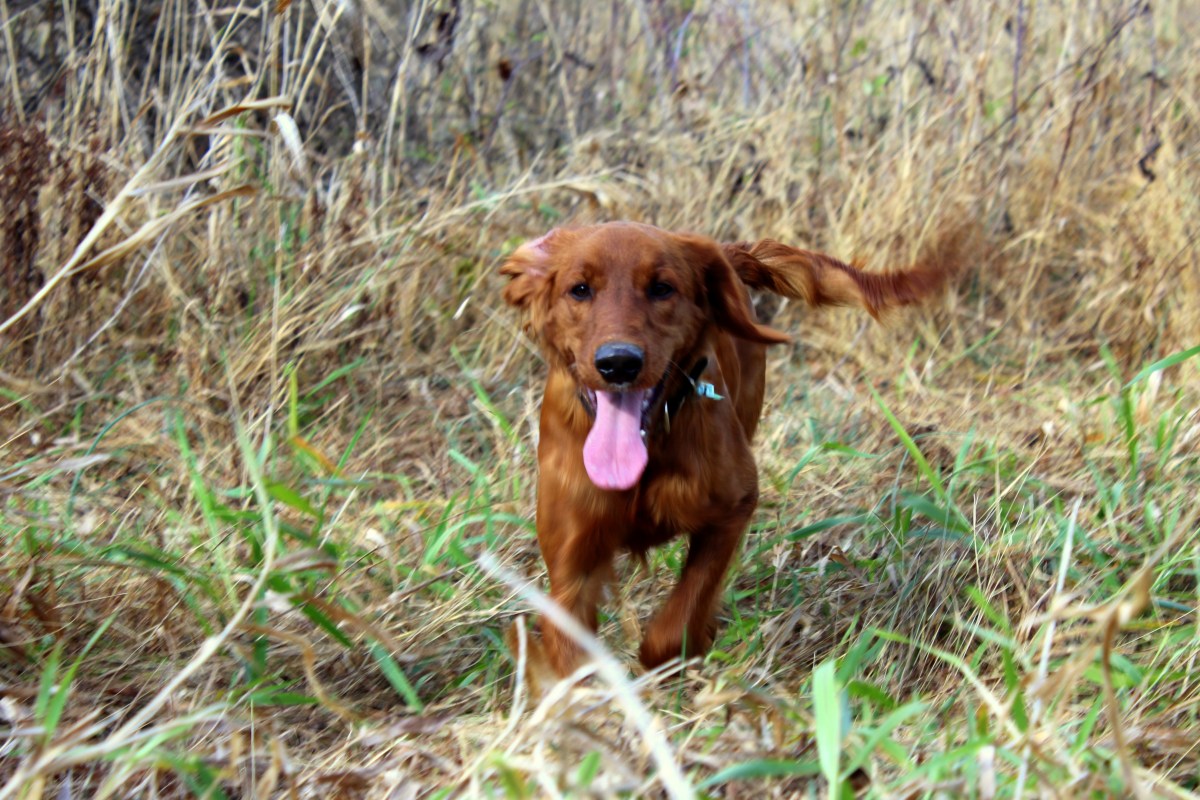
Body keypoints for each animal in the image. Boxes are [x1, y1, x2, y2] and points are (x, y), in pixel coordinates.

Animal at [500, 221, 946, 676]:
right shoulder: (573, 565)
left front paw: (682, 651)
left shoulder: (733, 507)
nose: (619, 362)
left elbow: (676, 624)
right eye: (580, 289)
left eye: (662, 288)